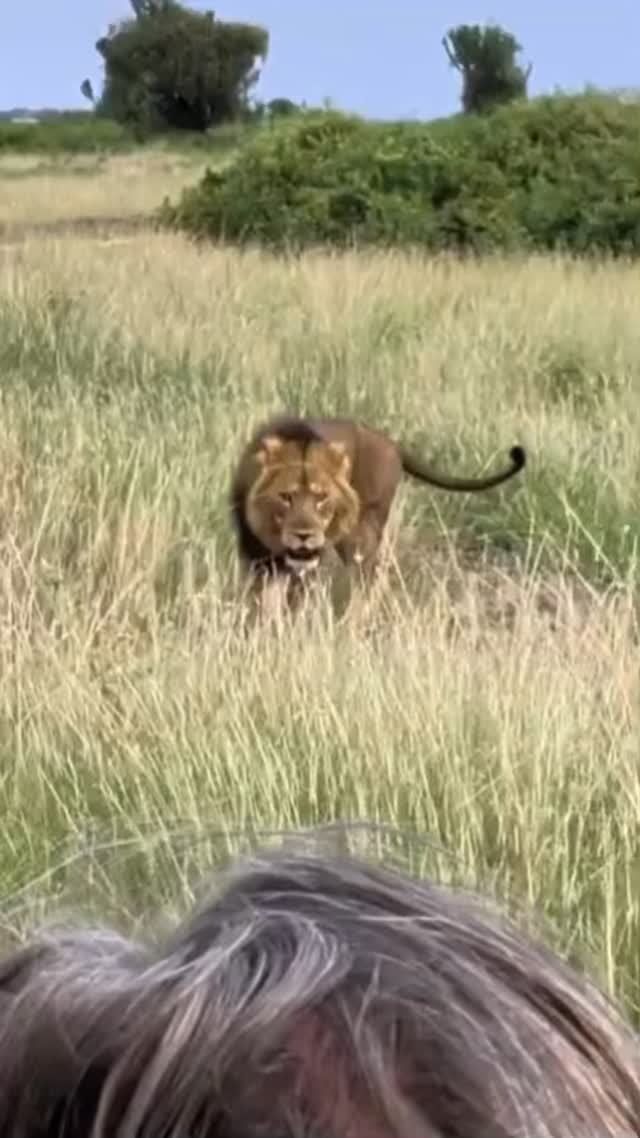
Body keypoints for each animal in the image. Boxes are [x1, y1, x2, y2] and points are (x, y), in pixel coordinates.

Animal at [230, 414, 526, 605]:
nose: (304, 535)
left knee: (369, 579)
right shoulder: (254, 555)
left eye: (322, 498)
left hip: (363, 533)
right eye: (286, 496)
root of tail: (390, 442)